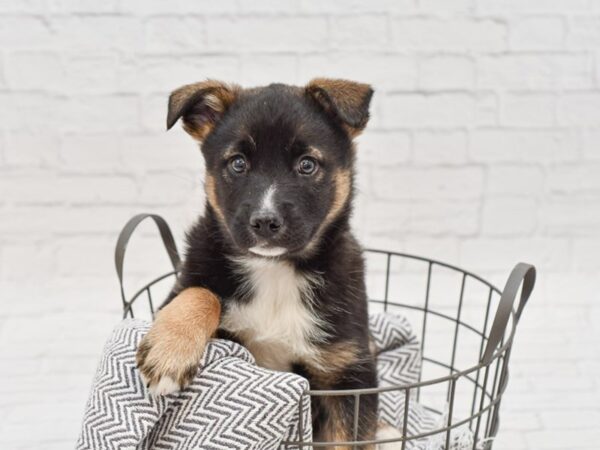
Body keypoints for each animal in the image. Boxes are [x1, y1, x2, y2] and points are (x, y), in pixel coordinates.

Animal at [138, 78, 378, 446]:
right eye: (238, 163)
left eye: (307, 164)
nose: (265, 222)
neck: (275, 271)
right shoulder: (183, 288)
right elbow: (202, 293)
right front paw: (169, 350)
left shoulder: (349, 372)